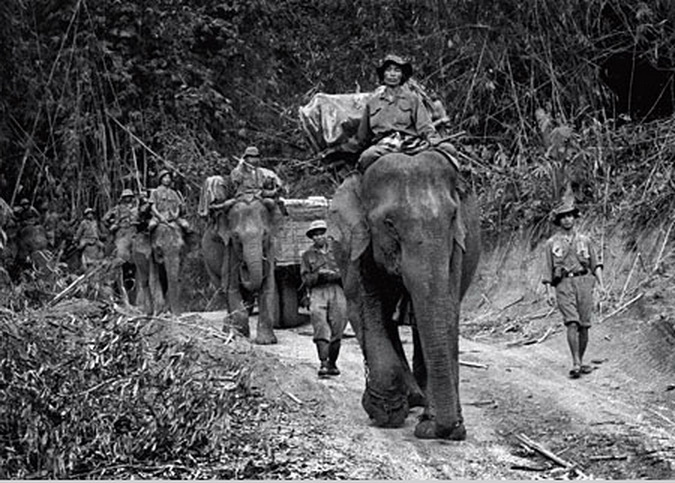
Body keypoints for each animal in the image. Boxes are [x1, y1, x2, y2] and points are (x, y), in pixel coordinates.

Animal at [203, 193, 282, 344]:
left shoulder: (270, 249)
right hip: (208, 264)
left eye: (264, 234)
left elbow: (268, 286)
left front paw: (266, 341)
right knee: (222, 289)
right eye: (236, 236)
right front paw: (242, 335)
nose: (243, 266)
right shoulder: (229, 250)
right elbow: (231, 288)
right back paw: (228, 331)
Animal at [328, 151, 480, 442]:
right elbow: (363, 307)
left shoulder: (457, 246)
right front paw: (385, 412)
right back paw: (409, 399)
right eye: (389, 224)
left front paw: (439, 426)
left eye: (452, 217)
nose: (444, 429)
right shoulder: (357, 245)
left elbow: (448, 311)